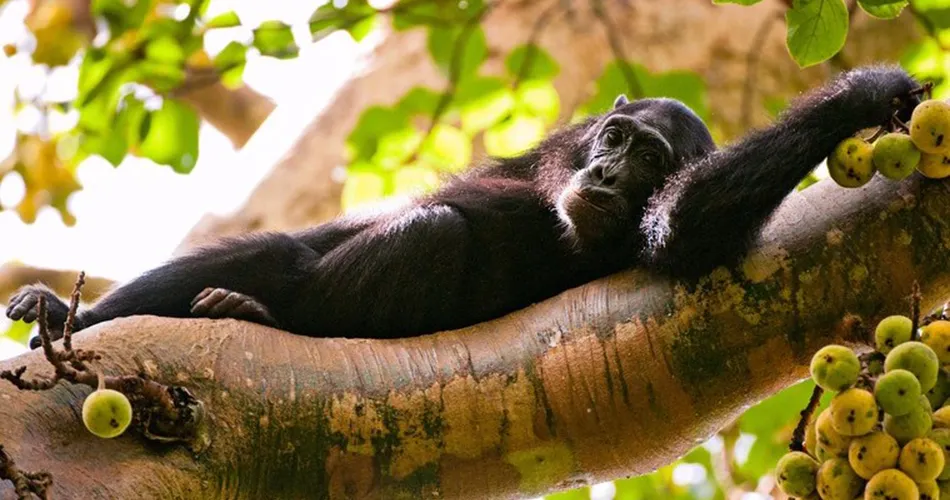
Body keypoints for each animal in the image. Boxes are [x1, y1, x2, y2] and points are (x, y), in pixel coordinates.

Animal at [5, 65, 922, 349]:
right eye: (618, 140)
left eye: (651, 163)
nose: (606, 175)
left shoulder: (659, 231)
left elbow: (681, 229)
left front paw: (861, 95)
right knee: (283, 254)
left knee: (429, 236)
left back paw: (260, 316)